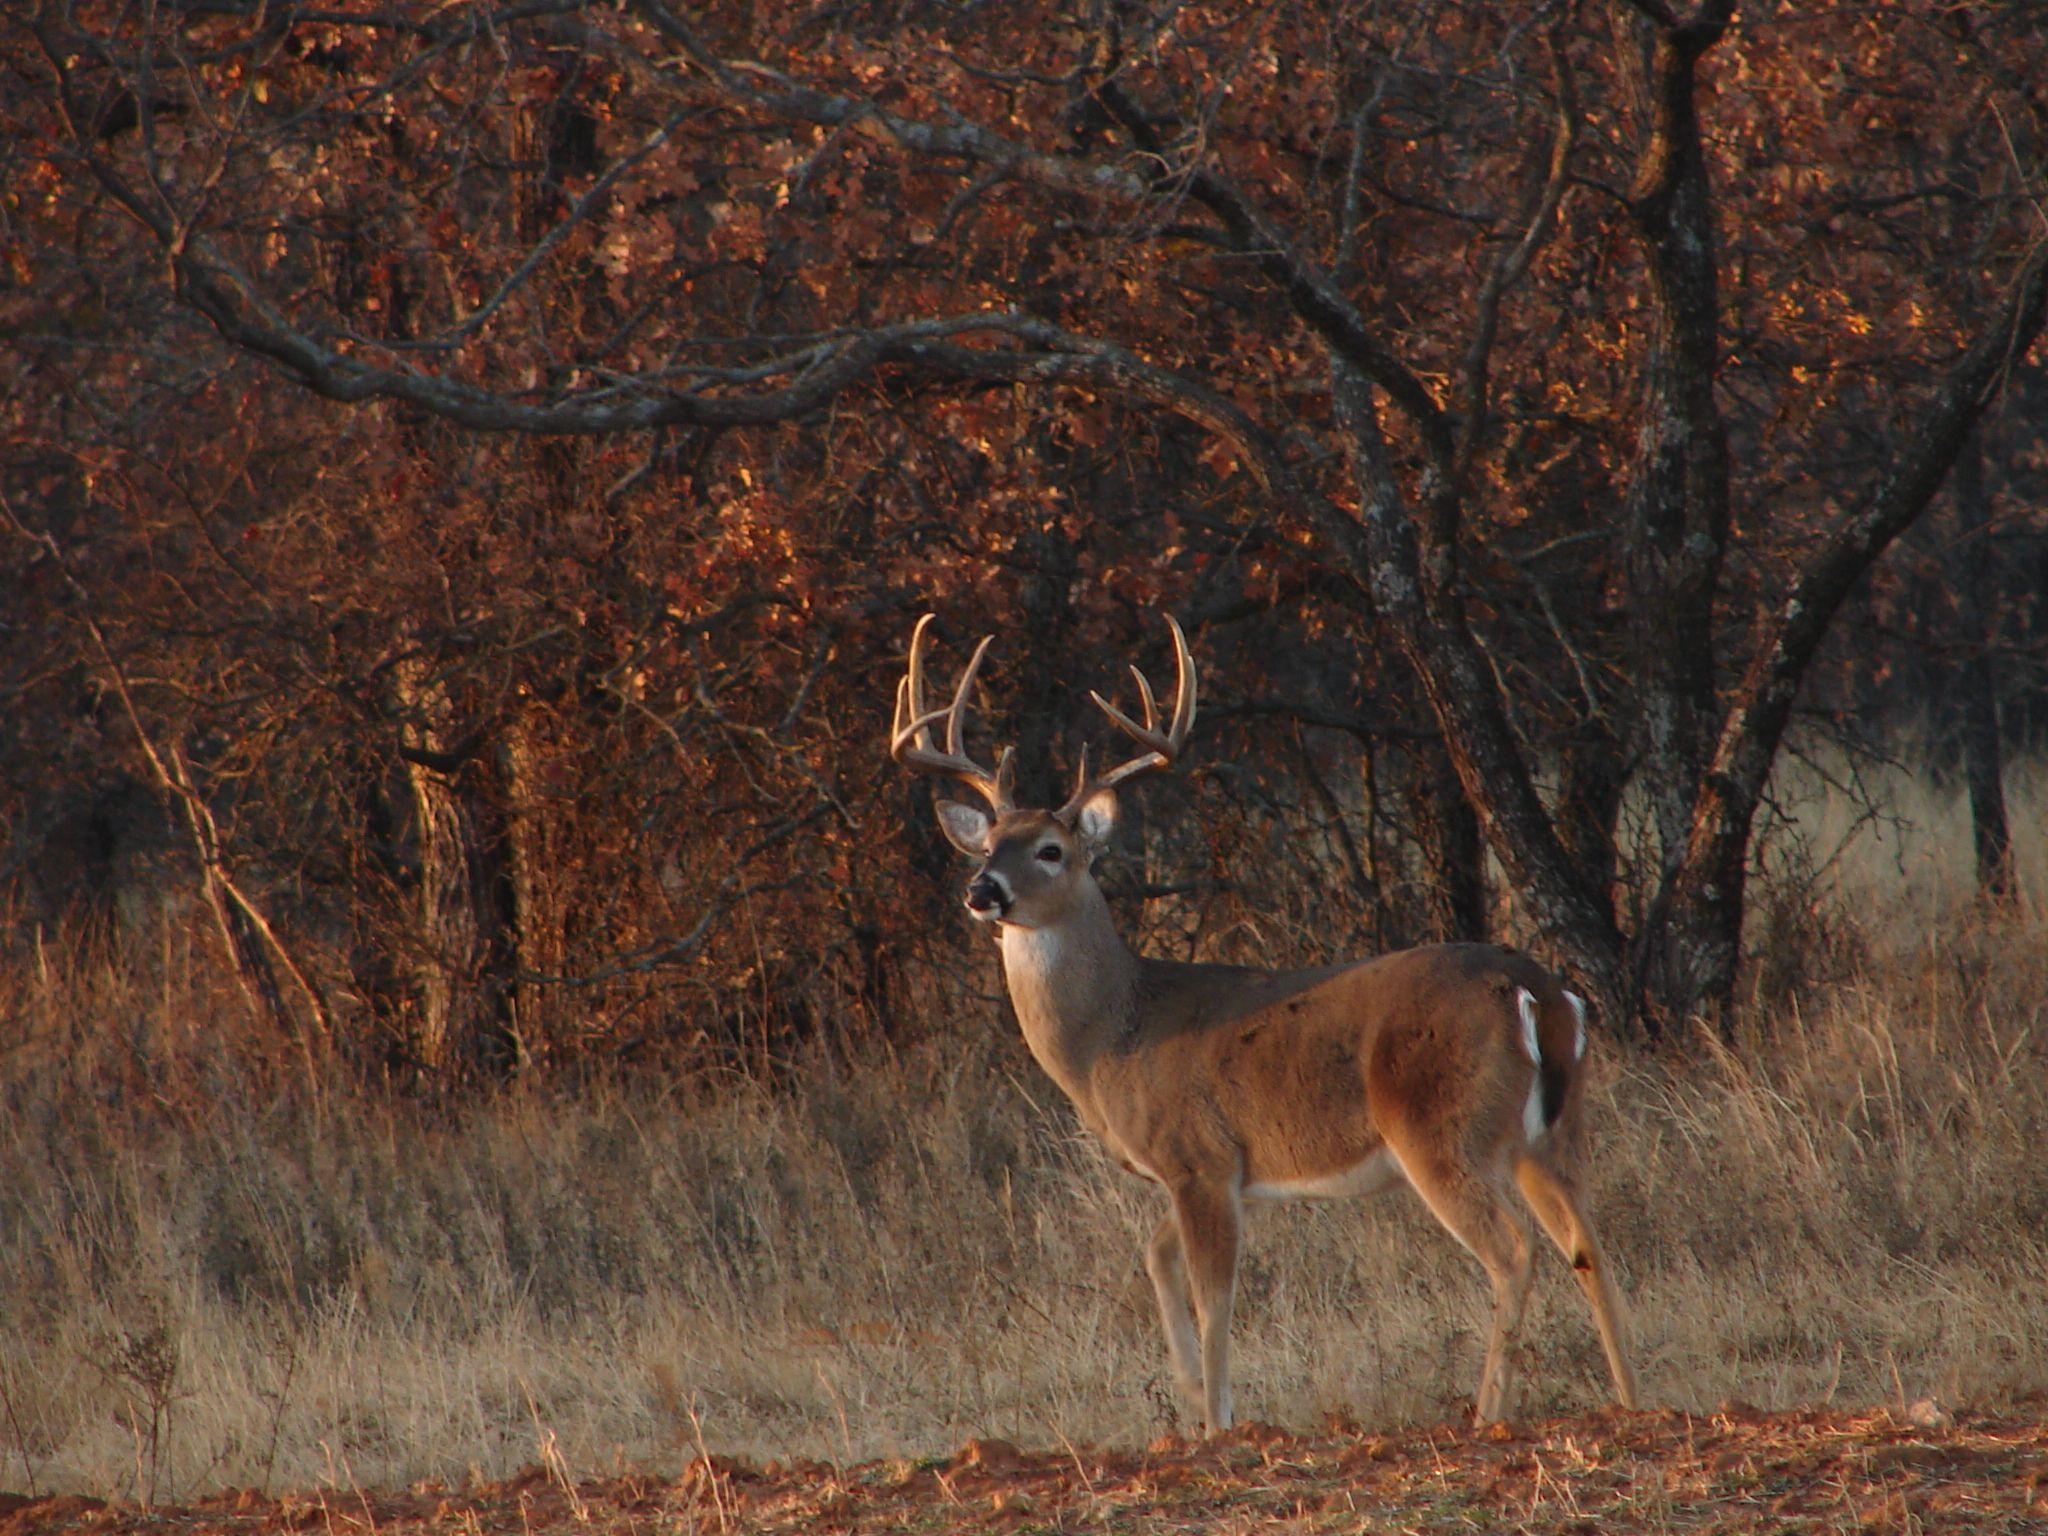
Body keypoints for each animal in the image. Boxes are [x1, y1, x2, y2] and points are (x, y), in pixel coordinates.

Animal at [888, 610, 1638, 1433]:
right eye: (990, 843)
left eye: (1052, 850)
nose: (982, 890)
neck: (1113, 1035)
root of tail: (1539, 993)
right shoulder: (1211, 1173)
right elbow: (1156, 1259)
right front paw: (1191, 1401)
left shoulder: (1199, 1156)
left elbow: (1214, 1301)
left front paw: (1219, 1424)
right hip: (1552, 1134)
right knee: (1590, 1245)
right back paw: (1636, 1401)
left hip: (1442, 1129)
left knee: (1515, 1251)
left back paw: (1487, 1413)